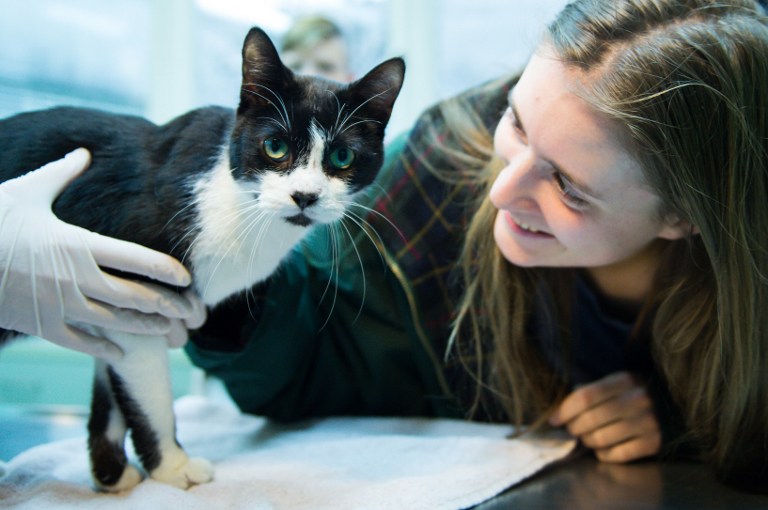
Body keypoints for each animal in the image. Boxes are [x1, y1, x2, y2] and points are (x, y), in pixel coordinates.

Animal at [0, 26, 408, 490]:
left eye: (342, 157)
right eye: (274, 146)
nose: (304, 195)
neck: (239, 204)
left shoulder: (110, 311)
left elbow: (112, 380)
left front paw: (111, 473)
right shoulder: (136, 294)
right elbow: (150, 392)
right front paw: (171, 465)